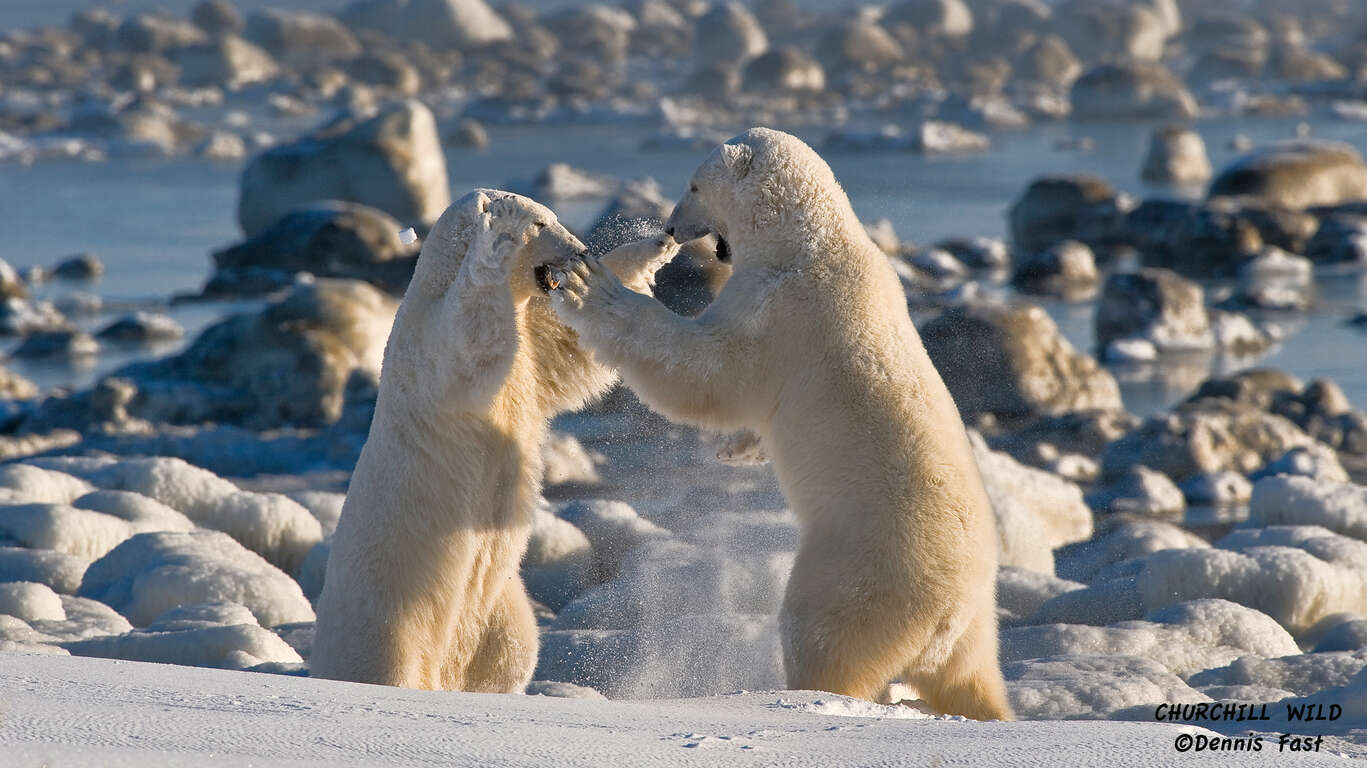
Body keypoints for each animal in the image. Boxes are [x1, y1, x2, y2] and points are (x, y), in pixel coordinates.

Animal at [314, 188, 683, 691]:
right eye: (543, 224)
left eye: (555, 218)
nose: (579, 249)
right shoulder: (428, 345)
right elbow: (469, 341)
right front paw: (499, 233)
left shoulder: (529, 357)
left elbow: (567, 349)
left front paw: (652, 248)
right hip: (388, 611)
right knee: (387, 662)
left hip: (499, 606)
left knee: (511, 647)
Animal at [546, 127, 1017, 716]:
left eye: (693, 185)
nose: (671, 227)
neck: (809, 243)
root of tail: (949, 613)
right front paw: (738, 450)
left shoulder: (779, 310)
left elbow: (707, 368)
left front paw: (591, 285)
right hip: (974, 627)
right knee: (970, 678)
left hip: (860, 571)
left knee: (823, 636)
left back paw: (807, 693)